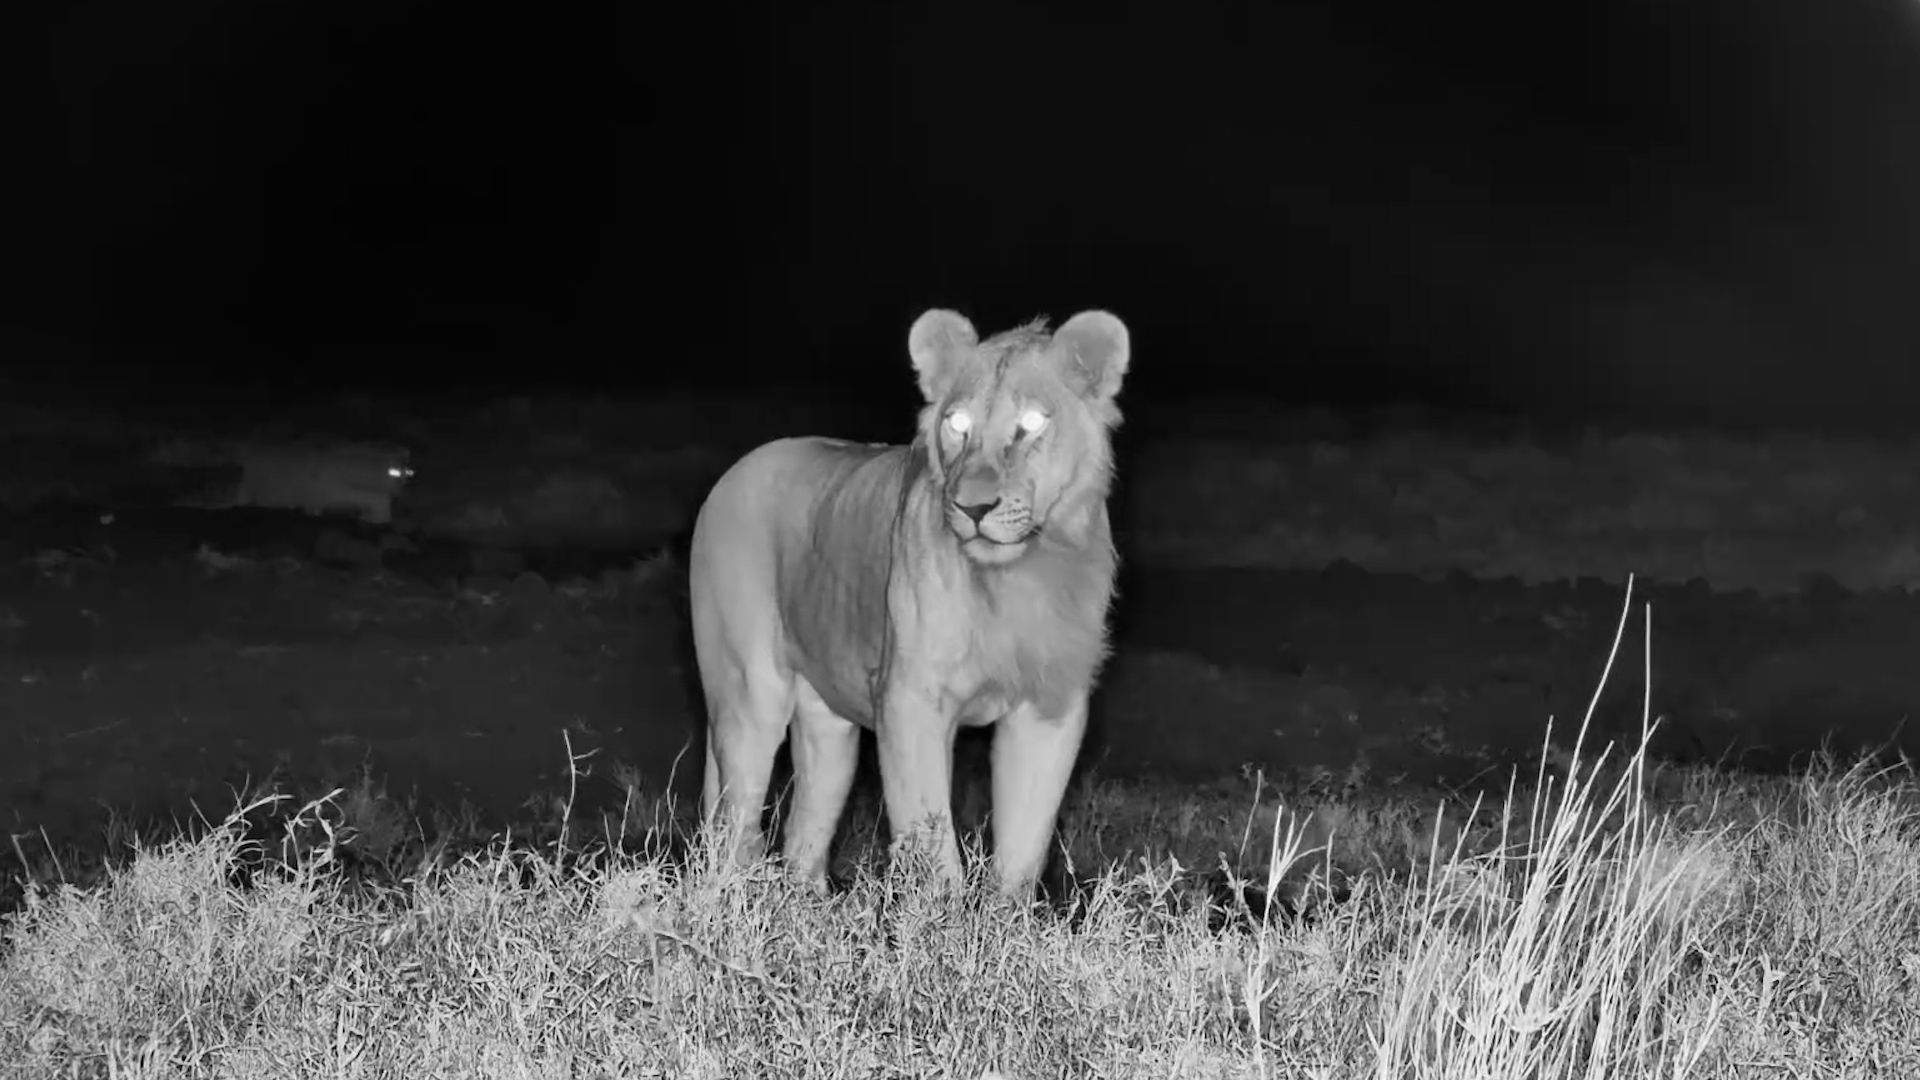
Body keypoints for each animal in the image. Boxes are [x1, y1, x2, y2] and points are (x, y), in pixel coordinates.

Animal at [688, 308, 1131, 897]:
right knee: (734, 824)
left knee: (805, 830)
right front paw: (938, 921)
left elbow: (1022, 852)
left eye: (1033, 422)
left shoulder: (1050, 708)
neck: (1013, 580)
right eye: (958, 424)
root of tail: (730, 475)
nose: (973, 507)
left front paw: (1003, 920)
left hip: (829, 724)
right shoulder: (910, 699)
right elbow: (932, 842)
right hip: (749, 692)